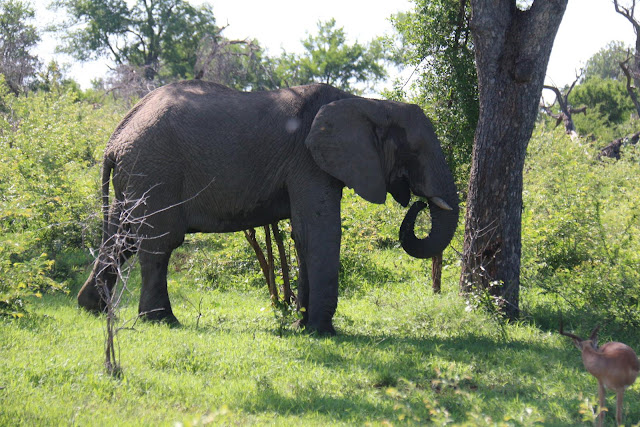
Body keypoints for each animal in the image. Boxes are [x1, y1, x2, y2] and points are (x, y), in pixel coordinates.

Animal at [79, 80, 460, 334]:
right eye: (415, 151)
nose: (419, 202)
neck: (370, 103)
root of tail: (116, 136)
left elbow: (303, 236)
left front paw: (302, 326)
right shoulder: (308, 161)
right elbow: (318, 232)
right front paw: (321, 332)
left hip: (135, 176)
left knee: (122, 239)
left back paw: (92, 308)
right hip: (154, 171)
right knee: (158, 243)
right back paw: (162, 321)